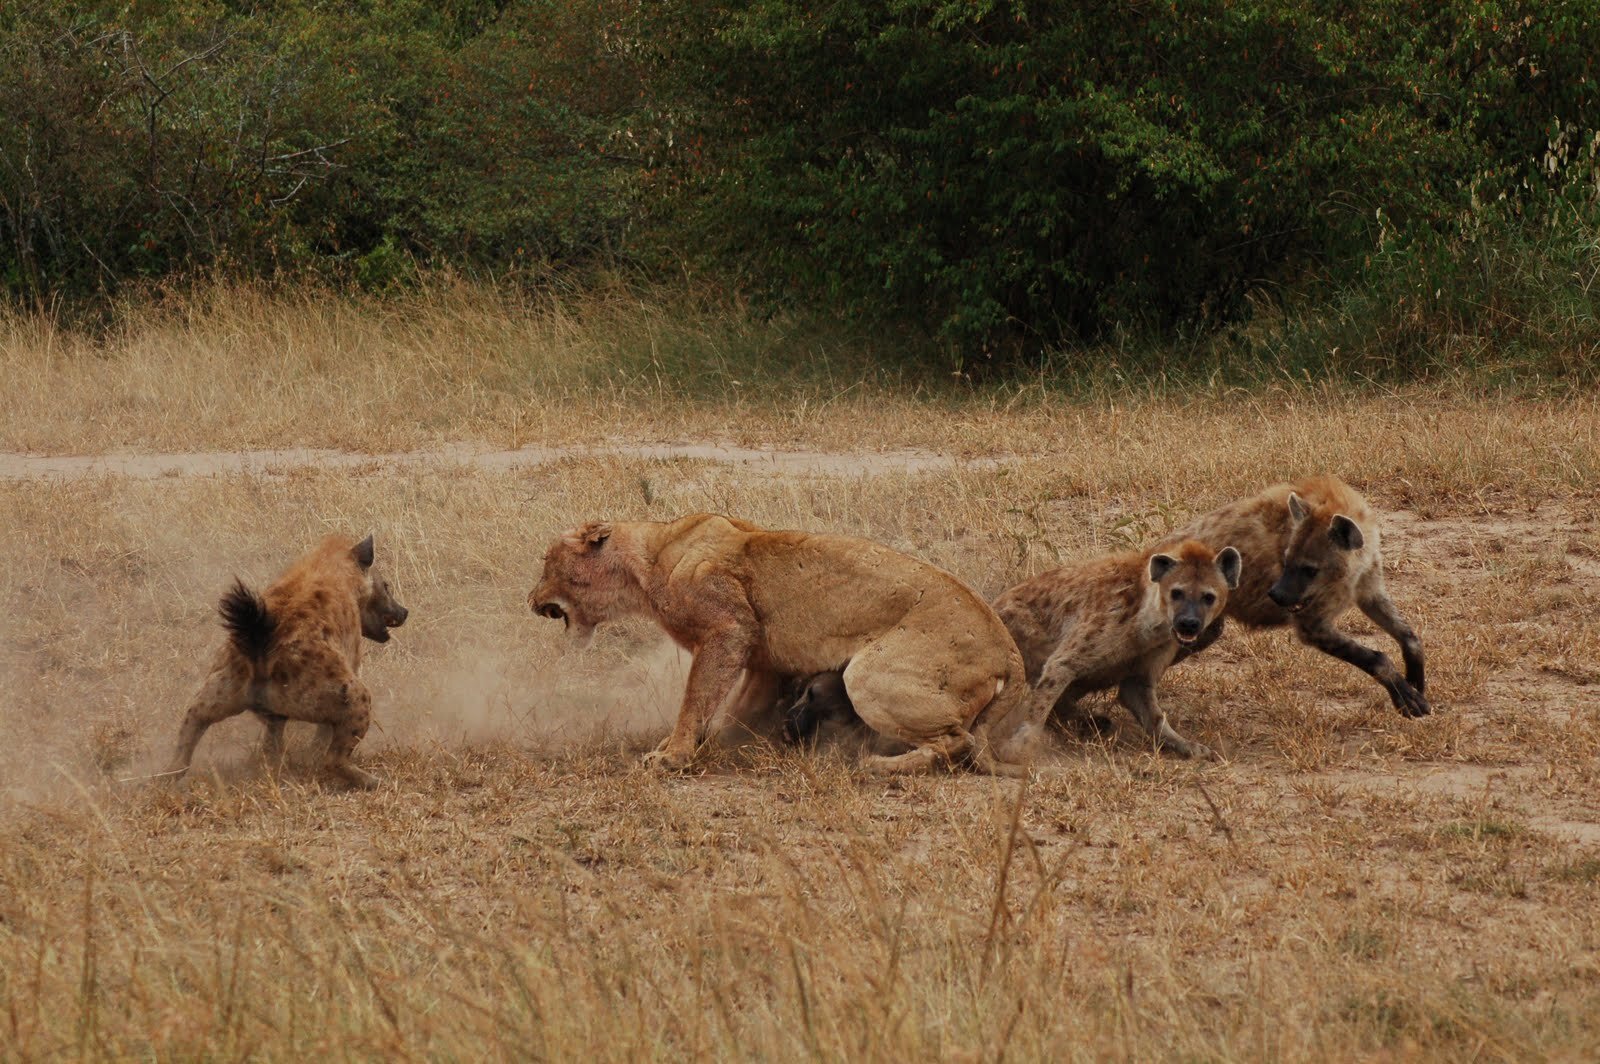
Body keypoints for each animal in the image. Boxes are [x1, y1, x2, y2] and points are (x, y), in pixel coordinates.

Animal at [165, 534, 408, 788]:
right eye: (387, 586)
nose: (404, 611)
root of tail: (259, 648)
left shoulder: (274, 712)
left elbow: (273, 738)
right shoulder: (350, 659)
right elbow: (324, 732)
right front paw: (314, 751)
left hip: (218, 688)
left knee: (191, 726)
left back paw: (169, 777)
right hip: (345, 691)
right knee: (334, 757)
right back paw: (373, 780)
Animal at [528, 514, 1031, 774]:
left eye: (547, 562)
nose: (530, 601)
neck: (645, 562)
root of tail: (1010, 652)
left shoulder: (728, 629)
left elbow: (695, 698)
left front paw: (672, 755)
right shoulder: (760, 658)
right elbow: (733, 709)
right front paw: (721, 743)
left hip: (870, 674)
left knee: (958, 739)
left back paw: (879, 766)